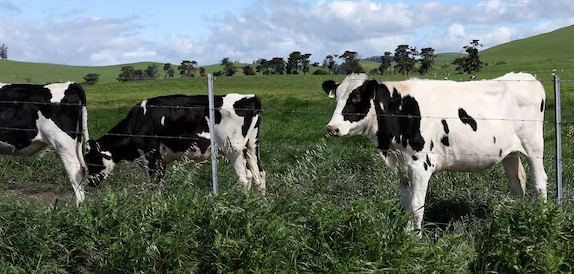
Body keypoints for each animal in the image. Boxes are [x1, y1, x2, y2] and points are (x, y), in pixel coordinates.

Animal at [84, 93, 268, 192]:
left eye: (91, 162)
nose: (90, 184)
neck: (139, 120)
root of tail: (250, 97)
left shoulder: (151, 157)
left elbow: (153, 185)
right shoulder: (160, 161)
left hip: (233, 149)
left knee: (245, 178)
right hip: (251, 146)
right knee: (259, 174)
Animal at [322, 72, 552, 231]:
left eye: (356, 98)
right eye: (337, 97)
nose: (332, 127)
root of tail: (524, 76)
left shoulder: (421, 165)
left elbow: (417, 206)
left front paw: (414, 240)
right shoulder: (402, 168)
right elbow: (406, 206)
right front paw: (406, 234)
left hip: (534, 145)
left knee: (539, 180)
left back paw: (541, 216)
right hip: (509, 151)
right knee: (517, 182)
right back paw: (514, 216)